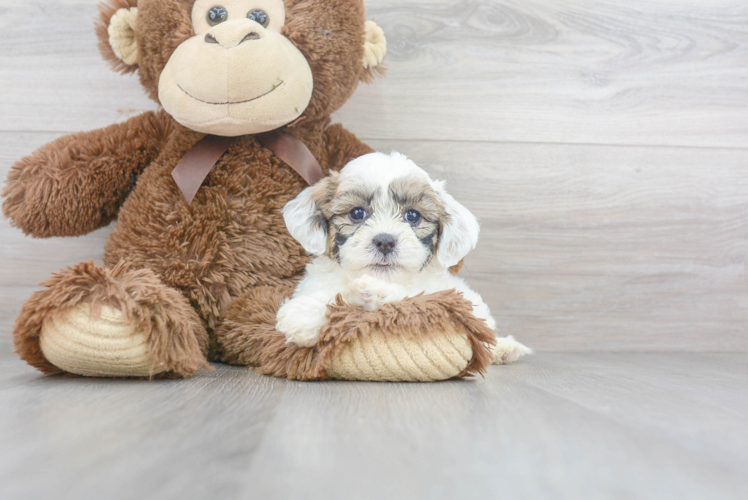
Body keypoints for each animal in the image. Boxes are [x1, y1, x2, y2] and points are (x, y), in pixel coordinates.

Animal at [276, 150, 532, 366]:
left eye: (412, 216)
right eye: (357, 213)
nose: (385, 241)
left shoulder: (440, 298)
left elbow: (411, 298)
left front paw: (372, 291)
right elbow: (328, 295)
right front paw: (304, 315)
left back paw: (504, 348)